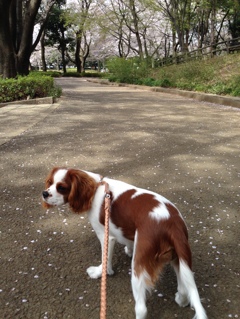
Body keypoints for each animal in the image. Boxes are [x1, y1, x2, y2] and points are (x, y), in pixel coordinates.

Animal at [42, 168, 207, 319]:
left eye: (61, 187)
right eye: (50, 182)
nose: (44, 193)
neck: (96, 188)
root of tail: (173, 224)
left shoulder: (105, 235)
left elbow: (105, 259)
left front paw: (100, 272)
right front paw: (128, 249)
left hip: (139, 265)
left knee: (141, 308)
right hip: (178, 256)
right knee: (185, 286)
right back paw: (181, 299)